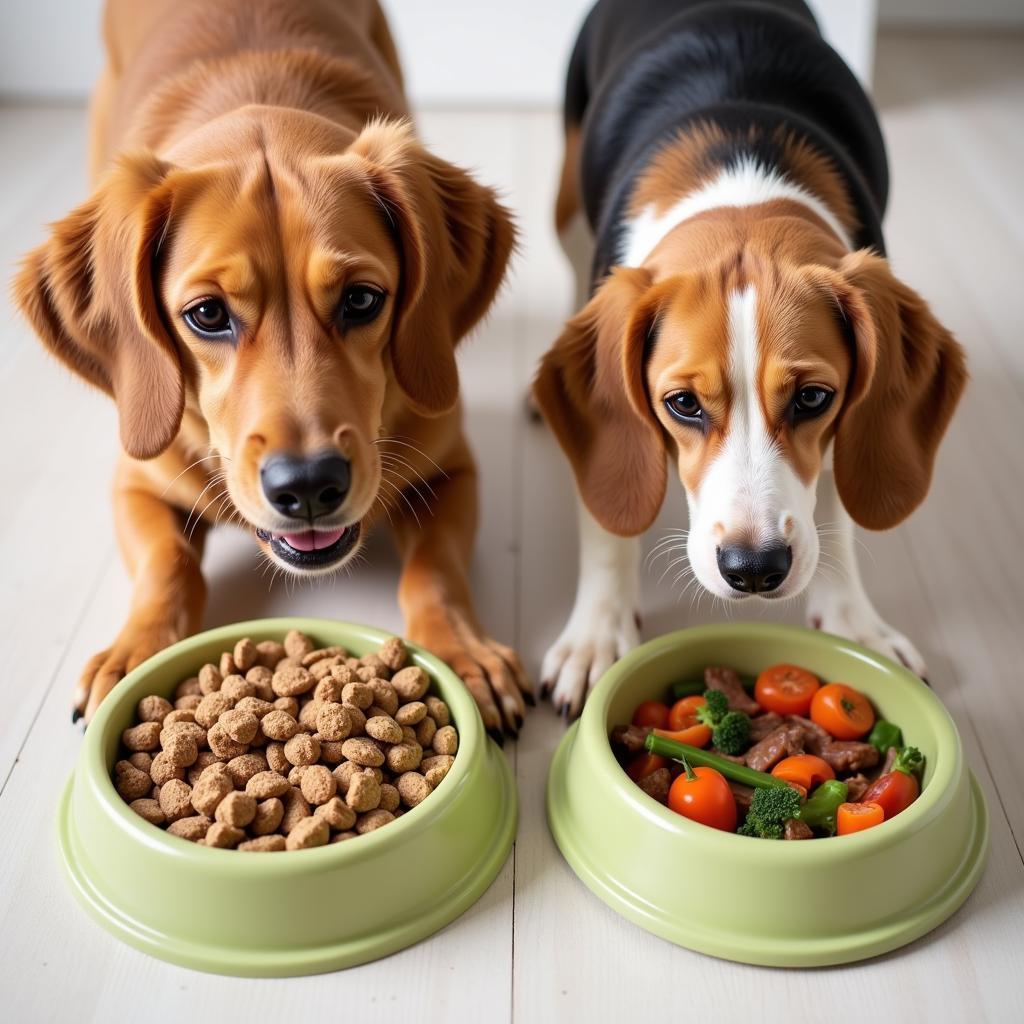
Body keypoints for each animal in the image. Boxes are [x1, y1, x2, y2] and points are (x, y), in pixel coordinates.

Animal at [14, 0, 528, 737]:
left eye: (362, 299)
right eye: (207, 314)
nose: (309, 486)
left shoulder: (452, 472)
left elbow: (434, 568)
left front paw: (462, 651)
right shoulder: (135, 483)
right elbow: (169, 563)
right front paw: (138, 648)